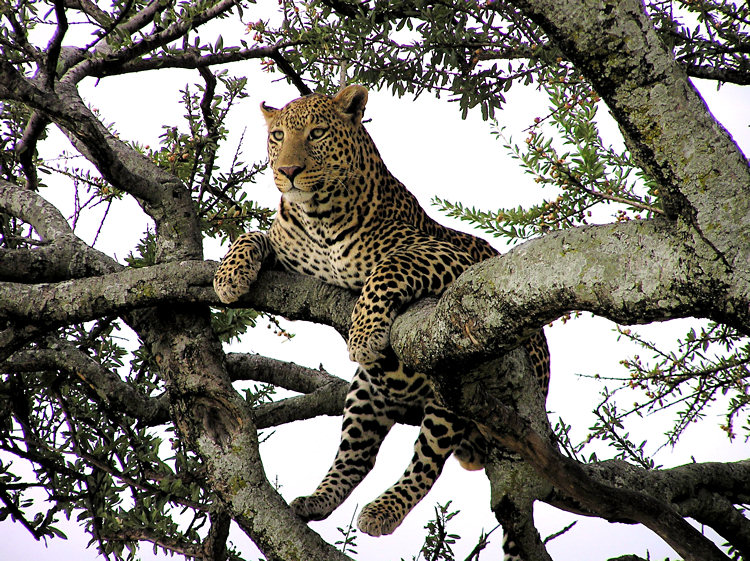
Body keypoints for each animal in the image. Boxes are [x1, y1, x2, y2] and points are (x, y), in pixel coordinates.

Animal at [213, 85, 552, 544]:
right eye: (278, 136)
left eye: (317, 133)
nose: (288, 170)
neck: (318, 216)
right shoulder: (287, 254)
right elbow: (250, 236)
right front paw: (228, 276)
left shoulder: (445, 254)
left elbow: (388, 269)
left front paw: (364, 334)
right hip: (365, 392)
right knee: (357, 456)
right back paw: (316, 500)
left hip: (455, 393)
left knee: (427, 463)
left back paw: (383, 510)